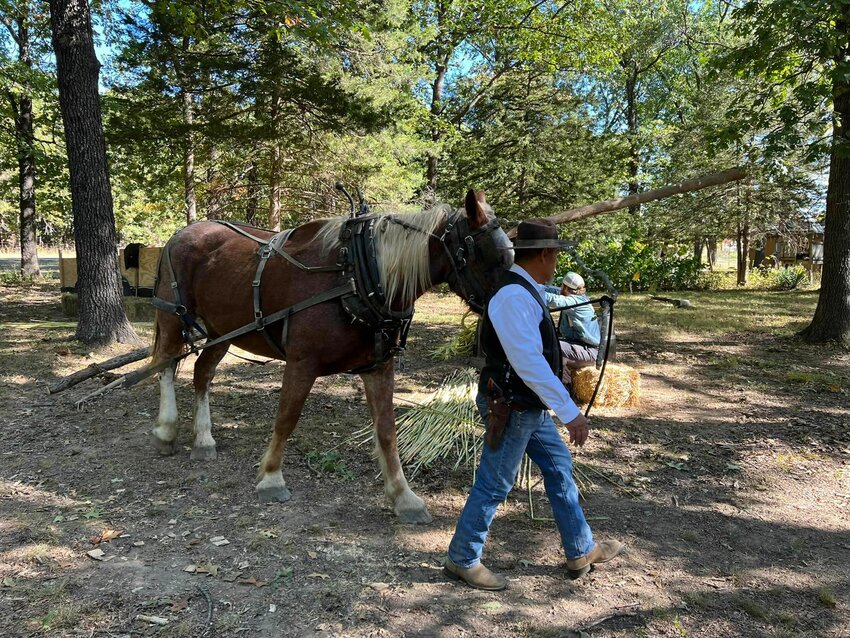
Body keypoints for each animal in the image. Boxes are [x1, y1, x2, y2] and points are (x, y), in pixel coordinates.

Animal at [149, 190, 512, 524]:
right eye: (491, 255)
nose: (508, 316)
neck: (357, 275)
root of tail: (182, 233)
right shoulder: (301, 363)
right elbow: (286, 418)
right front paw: (271, 478)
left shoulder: (379, 367)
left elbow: (387, 431)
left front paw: (404, 496)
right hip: (173, 317)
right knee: (164, 367)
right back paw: (166, 430)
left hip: (222, 329)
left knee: (202, 373)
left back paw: (203, 439)